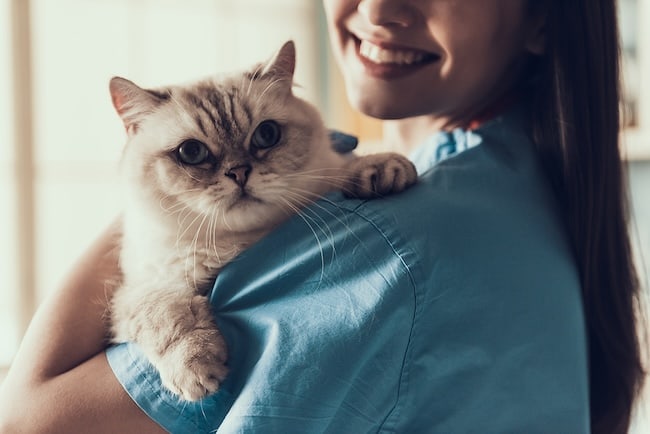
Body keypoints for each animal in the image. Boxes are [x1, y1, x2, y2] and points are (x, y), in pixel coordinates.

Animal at [107, 39, 416, 400]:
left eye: (266, 134)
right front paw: (197, 371)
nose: (239, 172)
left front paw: (381, 168)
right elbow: (168, 314)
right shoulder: (140, 288)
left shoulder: (323, 177)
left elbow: (339, 170)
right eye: (191, 153)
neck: (241, 242)